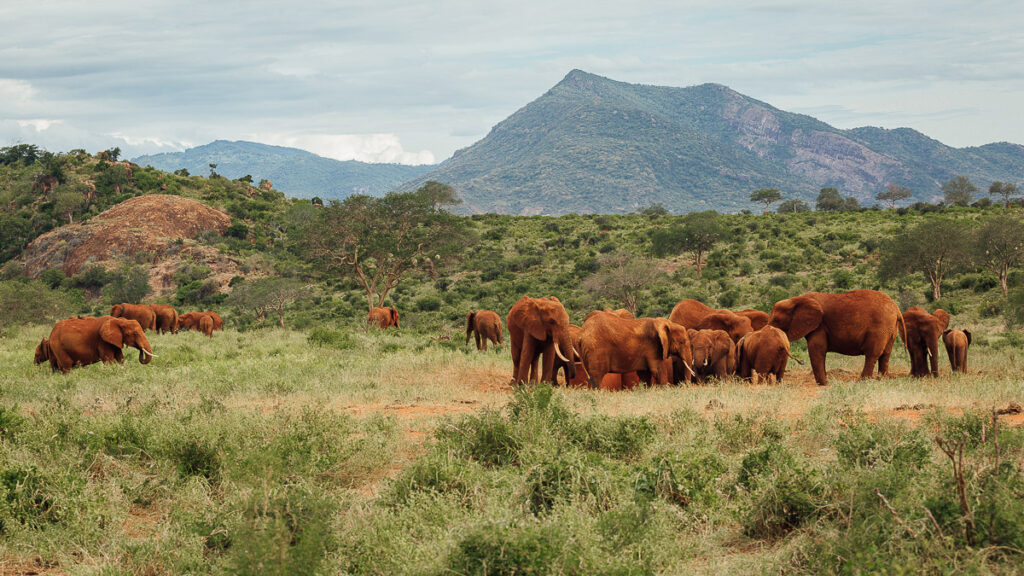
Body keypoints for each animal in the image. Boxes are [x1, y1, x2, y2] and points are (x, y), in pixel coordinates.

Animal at [769, 289, 905, 386]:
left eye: (776, 320)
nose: (801, 362)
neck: (796, 299)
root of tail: (897, 309)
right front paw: (826, 382)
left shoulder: (820, 325)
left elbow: (817, 349)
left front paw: (824, 384)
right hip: (890, 329)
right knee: (886, 354)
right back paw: (882, 379)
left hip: (880, 328)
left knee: (872, 354)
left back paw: (861, 381)